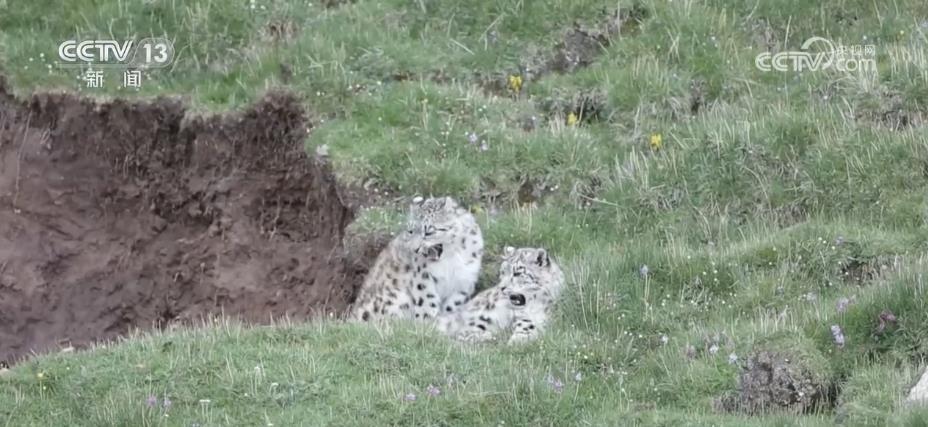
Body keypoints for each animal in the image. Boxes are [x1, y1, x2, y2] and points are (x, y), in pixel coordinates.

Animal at [349, 196, 483, 322]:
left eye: (429, 232)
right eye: (410, 231)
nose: (415, 249)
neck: (452, 256)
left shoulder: (464, 282)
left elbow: (452, 305)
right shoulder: (423, 276)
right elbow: (427, 300)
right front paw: (426, 321)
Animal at [436, 246, 565, 344]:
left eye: (517, 273)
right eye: (502, 272)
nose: (502, 288)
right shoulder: (522, 316)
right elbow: (526, 324)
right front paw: (518, 340)